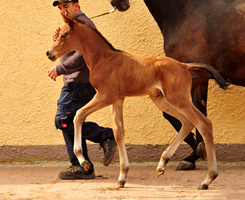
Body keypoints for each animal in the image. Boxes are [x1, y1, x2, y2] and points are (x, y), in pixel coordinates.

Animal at [47, 11, 229, 190]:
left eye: (64, 35)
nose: (49, 53)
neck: (102, 58)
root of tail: (185, 65)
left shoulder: (106, 96)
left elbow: (78, 114)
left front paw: (83, 161)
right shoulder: (117, 99)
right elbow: (118, 132)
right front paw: (122, 176)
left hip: (178, 98)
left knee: (204, 123)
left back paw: (207, 179)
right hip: (161, 100)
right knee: (187, 122)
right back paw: (162, 164)